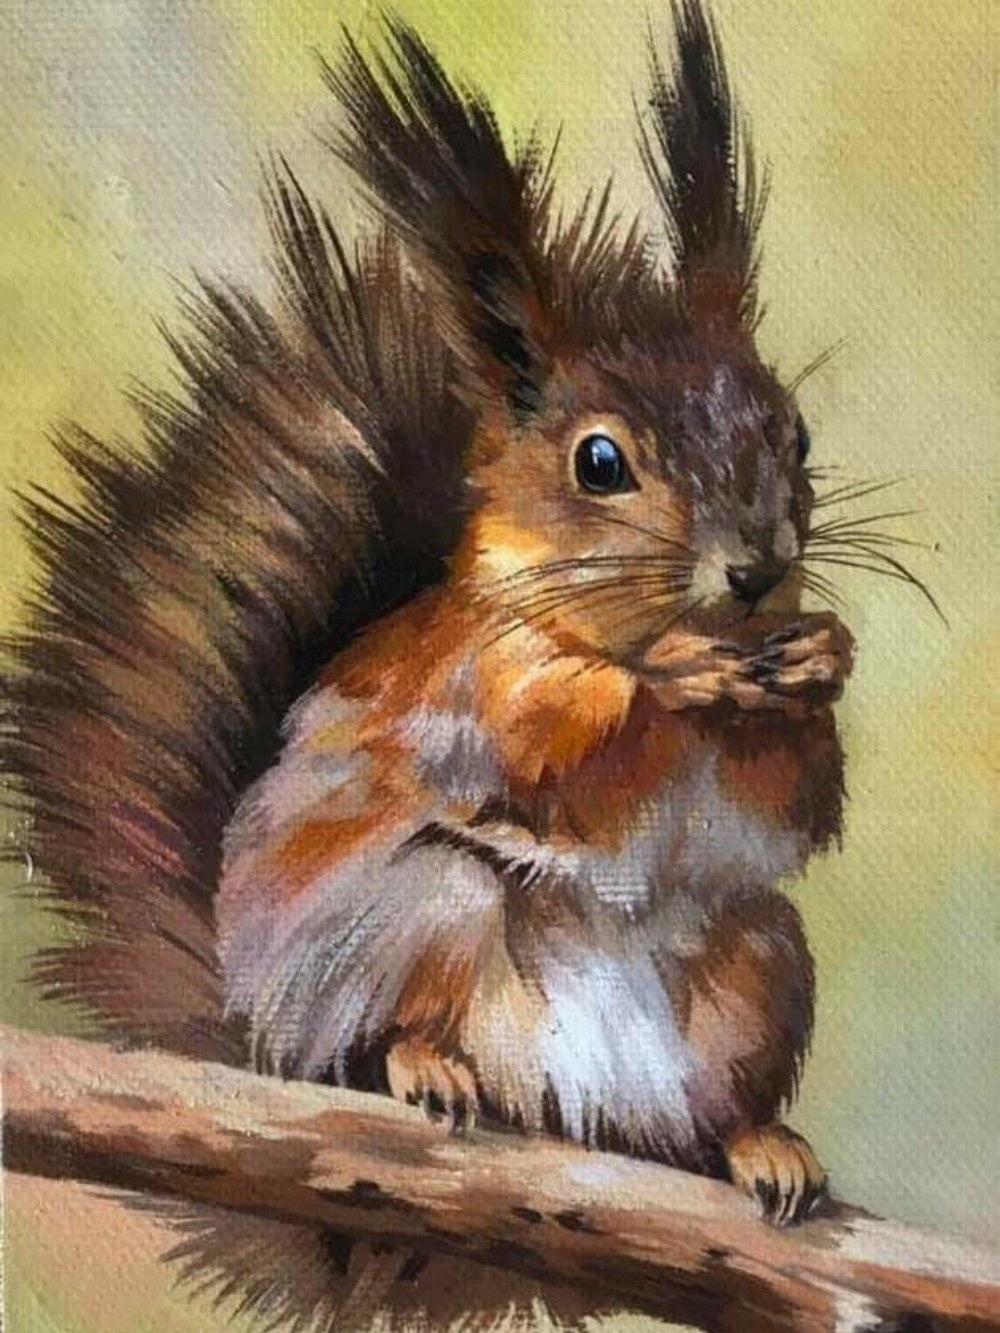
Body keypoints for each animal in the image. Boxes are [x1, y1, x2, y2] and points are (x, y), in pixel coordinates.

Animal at [4, 3, 860, 1330]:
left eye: (795, 432)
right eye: (598, 460)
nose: (759, 572)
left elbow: (797, 799)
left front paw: (818, 660)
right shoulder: (460, 684)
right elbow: (548, 743)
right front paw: (671, 680)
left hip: (758, 964)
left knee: (697, 1105)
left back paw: (758, 1144)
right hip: (408, 918)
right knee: (377, 1031)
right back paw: (424, 1065)